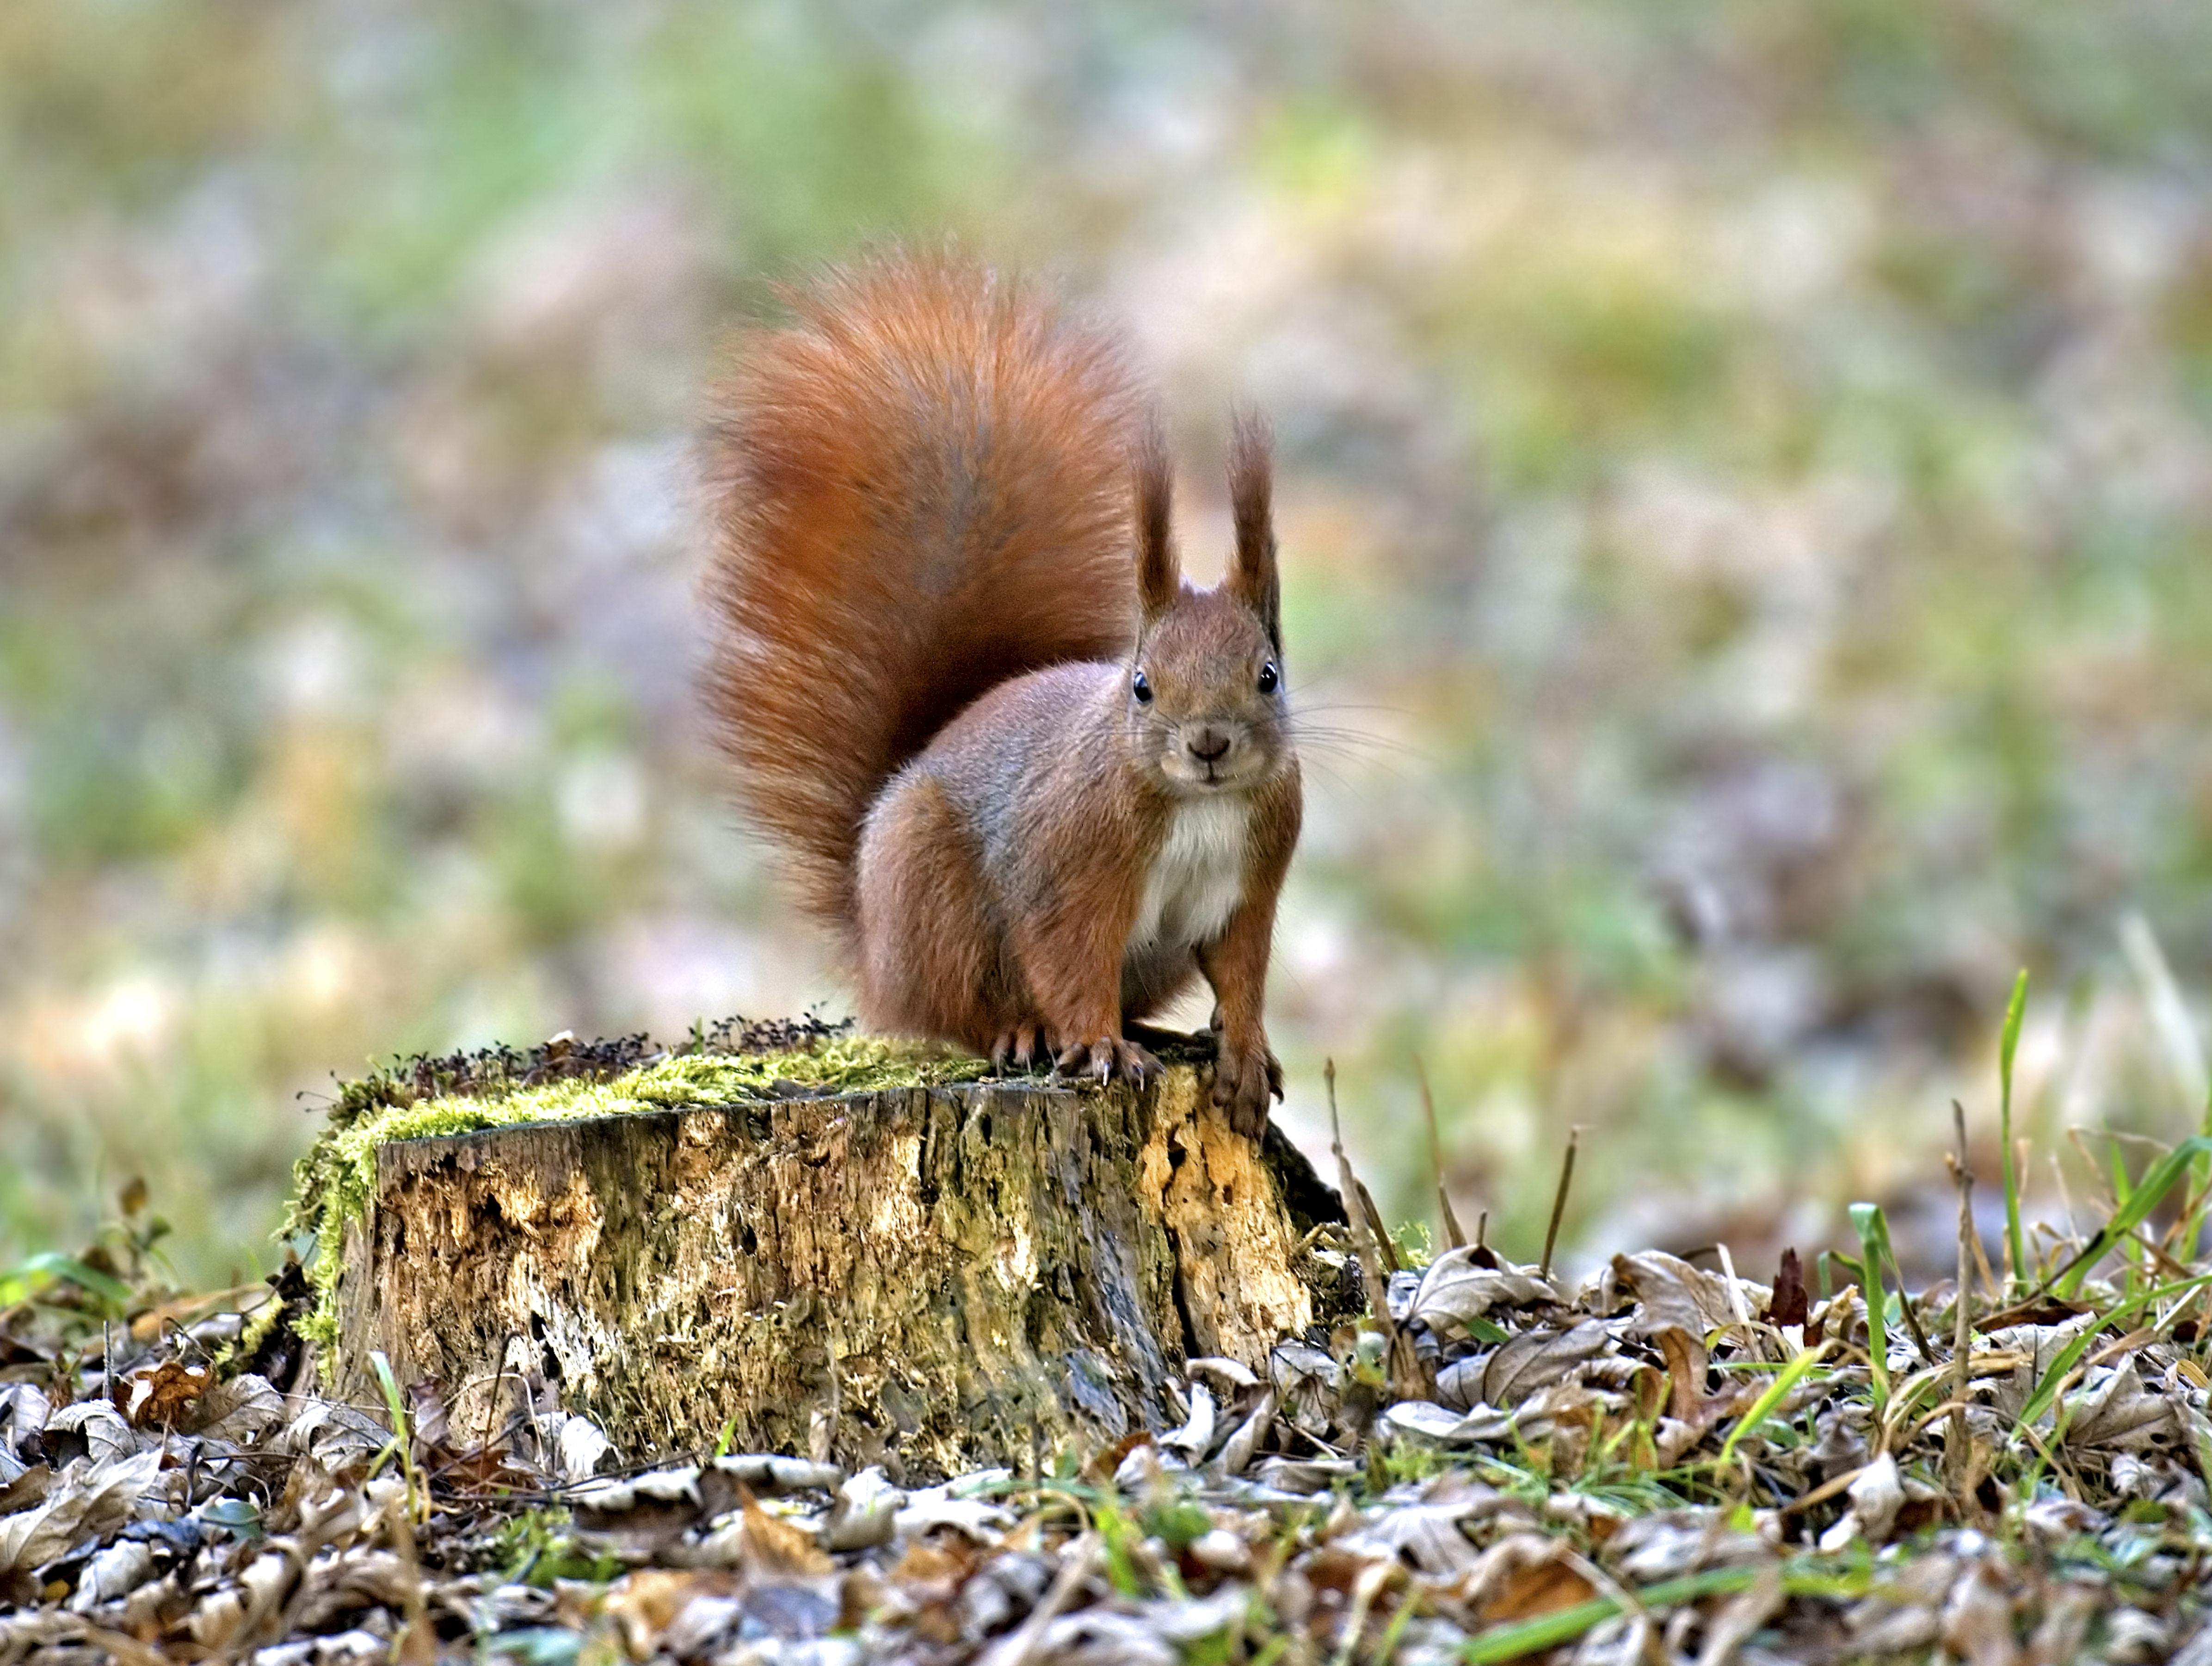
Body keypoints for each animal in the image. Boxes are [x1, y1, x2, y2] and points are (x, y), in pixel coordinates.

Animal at [703, 250, 1292, 1133]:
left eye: (1267, 675)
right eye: (1142, 686)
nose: (1210, 743)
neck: (1199, 805)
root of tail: (874, 954)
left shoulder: (1252, 883)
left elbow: (1243, 972)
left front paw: (1246, 1053)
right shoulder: (1067, 865)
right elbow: (1068, 958)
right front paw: (1099, 1047)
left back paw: (1153, 1029)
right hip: (936, 904)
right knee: (967, 1015)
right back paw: (1026, 1033)